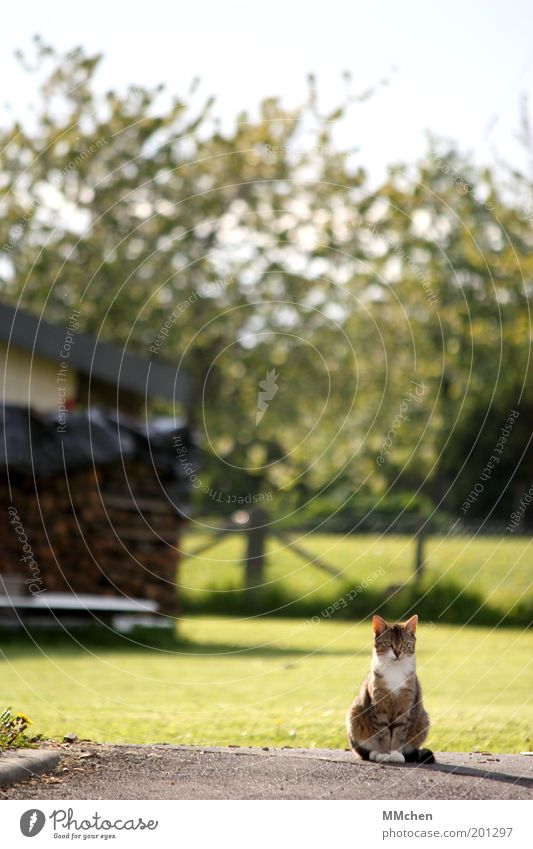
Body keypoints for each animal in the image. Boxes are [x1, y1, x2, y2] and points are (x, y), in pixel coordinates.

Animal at [344, 612, 432, 764]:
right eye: (388, 644)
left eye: (404, 644)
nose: (397, 652)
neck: (394, 670)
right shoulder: (378, 704)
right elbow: (383, 732)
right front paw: (384, 753)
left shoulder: (405, 705)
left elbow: (399, 732)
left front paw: (395, 754)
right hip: (354, 714)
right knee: (363, 751)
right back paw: (374, 753)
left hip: (423, 720)